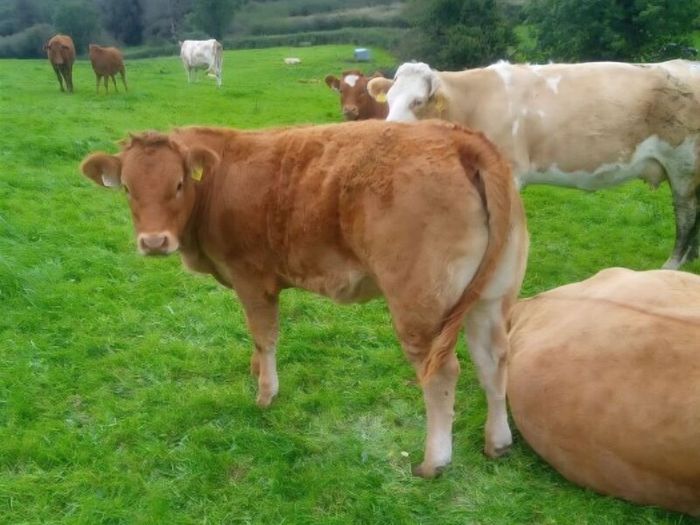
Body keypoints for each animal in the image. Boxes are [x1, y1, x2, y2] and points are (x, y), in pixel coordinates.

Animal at [80, 120, 529, 478]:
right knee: (493, 360)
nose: (154, 242)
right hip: (490, 298)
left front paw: (265, 392)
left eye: (177, 184)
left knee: (442, 373)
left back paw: (435, 461)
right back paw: (498, 441)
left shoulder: (251, 278)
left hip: (418, 306)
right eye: (127, 189)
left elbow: (263, 335)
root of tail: (457, 137)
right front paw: (254, 370)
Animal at [367, 61, 700, 270]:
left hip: (683, 162)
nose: (387, 135)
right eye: (390, 99)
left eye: (418, 101)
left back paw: (673, 264)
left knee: (686, 213)